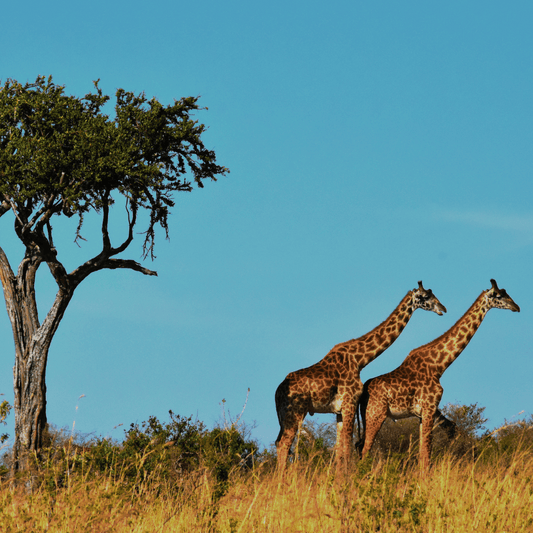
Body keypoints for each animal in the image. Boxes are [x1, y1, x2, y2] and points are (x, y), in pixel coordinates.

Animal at [274, 280, 444, 472]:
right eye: (425, 296)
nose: (442, 308)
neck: (359, 360)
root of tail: (277, 393)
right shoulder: (350, 403)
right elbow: (347, 447)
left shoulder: (340, 410)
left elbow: (340, 449)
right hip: (296, 412)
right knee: (284, 444)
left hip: (283, 416)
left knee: (278, 442)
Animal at [358, 276, 520, 468]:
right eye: (498, 295)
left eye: (506, 292)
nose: (516, 307)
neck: (439, 366)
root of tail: (363, 394)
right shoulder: (429, 408)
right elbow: (426, 455)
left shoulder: (426, 412)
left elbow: (426, 451)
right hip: (376, 414)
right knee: (365, 448)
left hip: (366, 415)